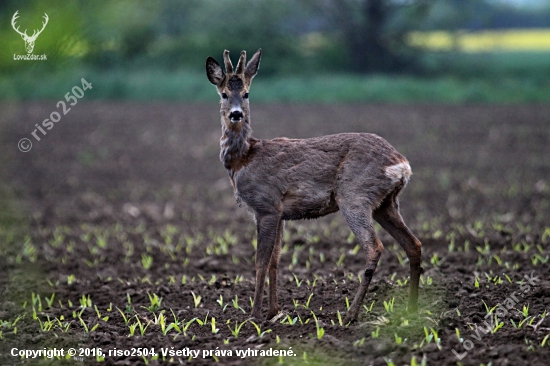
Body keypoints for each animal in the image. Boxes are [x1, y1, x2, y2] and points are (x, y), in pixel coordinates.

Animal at [205, 49, 424, 324]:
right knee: (413, 244)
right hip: (386, 203)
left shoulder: (265, 206)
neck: (244, 157)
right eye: (224, 94)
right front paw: (274, 312)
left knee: (375, 247)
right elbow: (276, 260)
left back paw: (351, 314)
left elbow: (260, 261)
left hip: (355, 195)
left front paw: (254, 316)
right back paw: (411, 309)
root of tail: (402, 165)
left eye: (246, 93)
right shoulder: (279, 213)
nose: (236, 114)